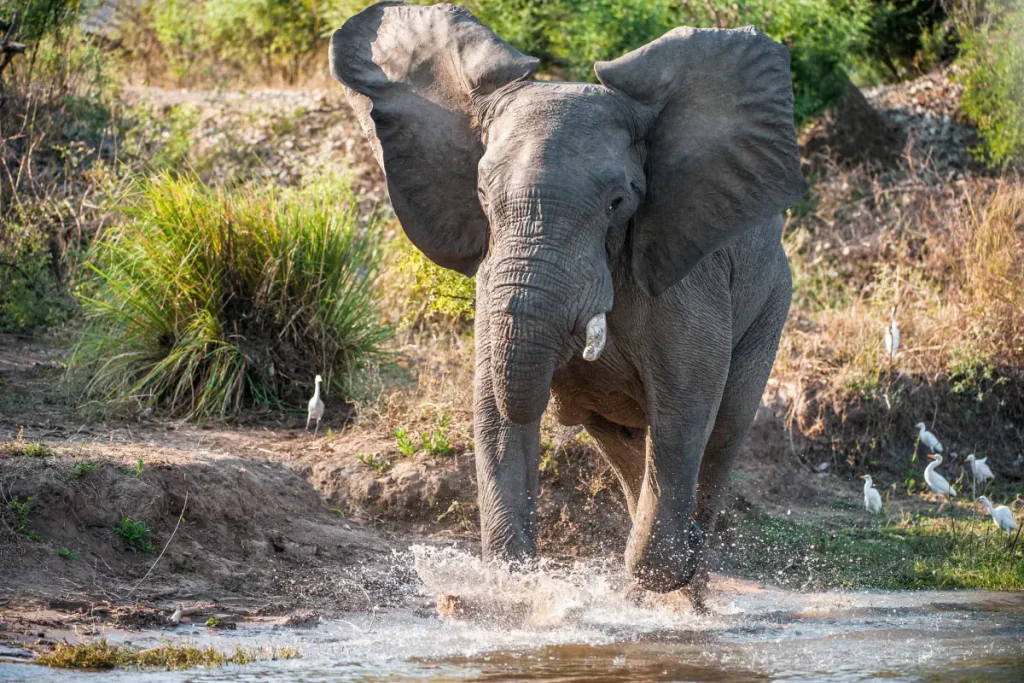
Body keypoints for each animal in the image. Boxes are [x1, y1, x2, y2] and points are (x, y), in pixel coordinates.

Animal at [331, 1, 802, 598]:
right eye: (481, 194)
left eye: (618, 202)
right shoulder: (492, 277)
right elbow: (494, 414)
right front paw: (516, 585)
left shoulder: (688, 283)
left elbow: (685, 413)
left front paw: (671, 562)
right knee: (623, 442)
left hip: (772, 302)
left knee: (721, 431)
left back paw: (691, 574)